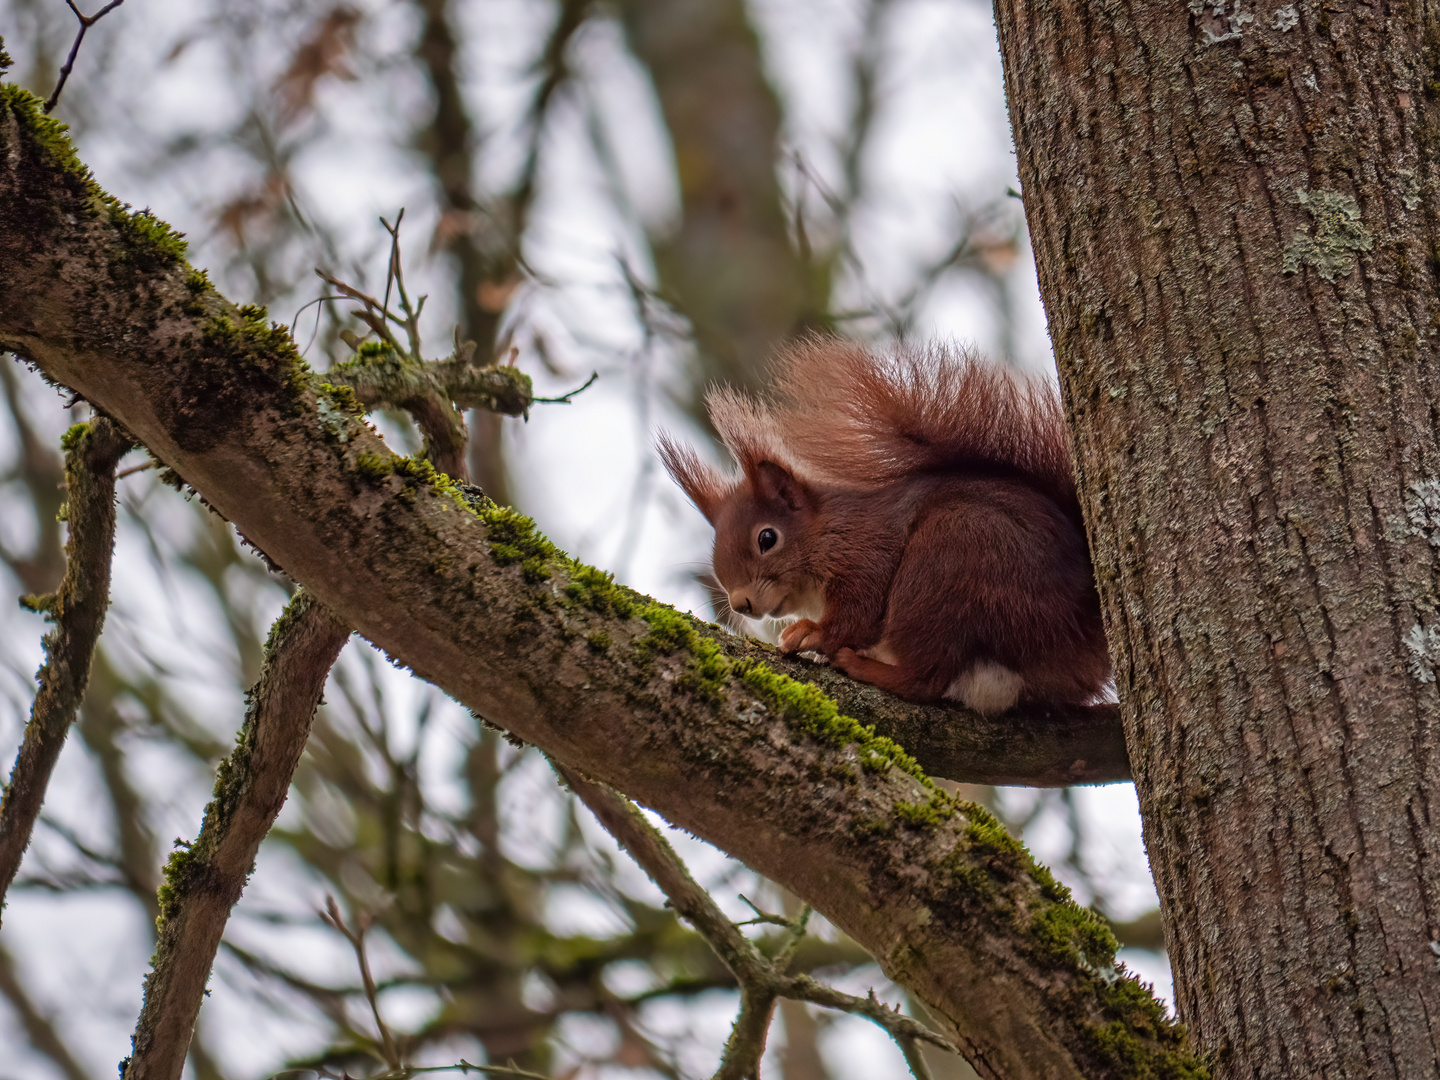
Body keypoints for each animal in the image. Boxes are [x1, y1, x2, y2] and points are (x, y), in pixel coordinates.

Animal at [659, 336, 1105, 711]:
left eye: (767, 538)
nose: (741, 604)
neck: (826, 531)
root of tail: (1082, 638)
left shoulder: (866, 551)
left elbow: (858, 613)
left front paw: (812, 633)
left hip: (948, 560)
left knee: (924, 677)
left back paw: (862, 667)